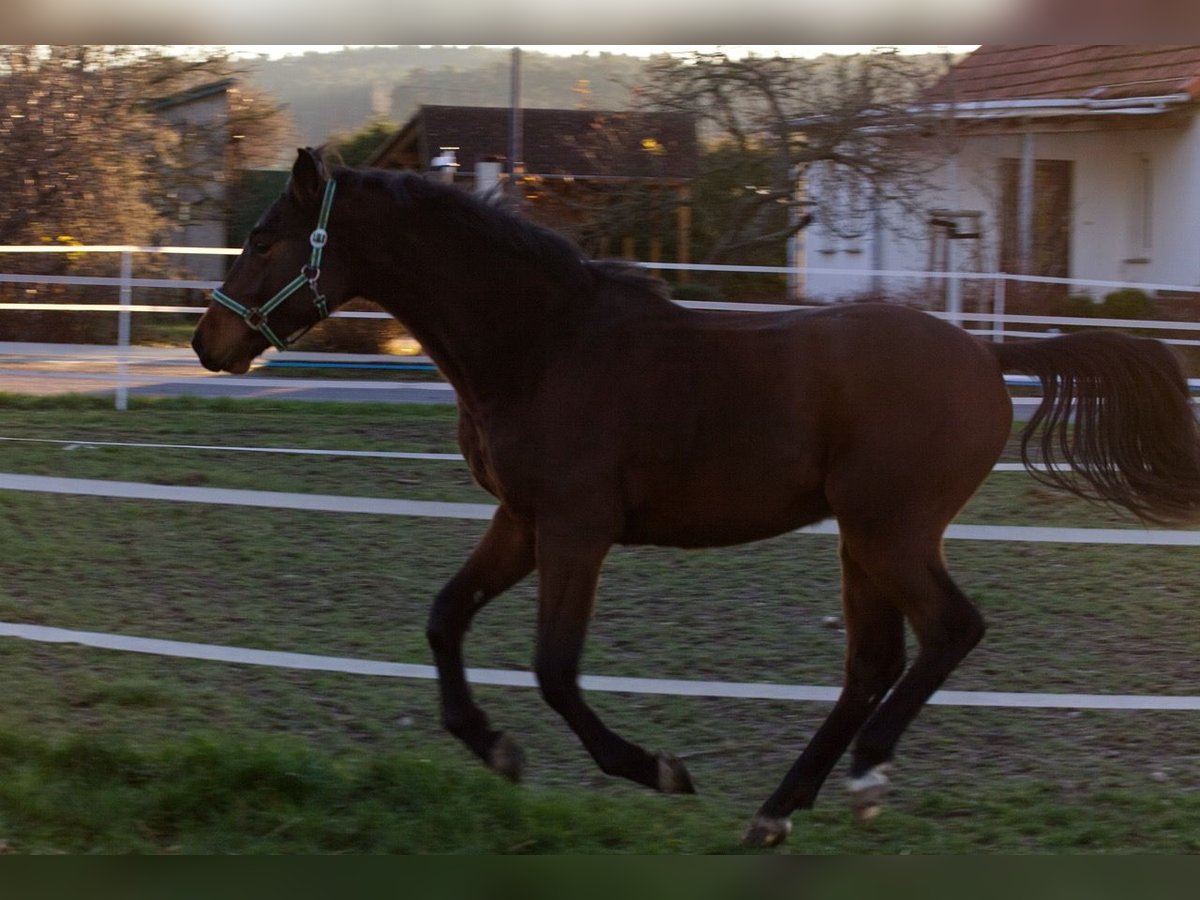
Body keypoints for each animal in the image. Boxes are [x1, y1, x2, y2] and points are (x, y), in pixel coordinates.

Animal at [192, 148, 1200, 844]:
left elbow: (556, 670)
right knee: (871, 662)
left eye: (266, 238)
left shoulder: (577, 530)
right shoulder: (521, 522)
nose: (209, 342)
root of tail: (989, 355)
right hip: (861, 538)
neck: (541, 343)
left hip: (891, 530)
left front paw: (656, 771)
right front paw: (494, 747)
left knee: (949, 631)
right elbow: (445, 619)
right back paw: (781, 809)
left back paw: (864, 776)